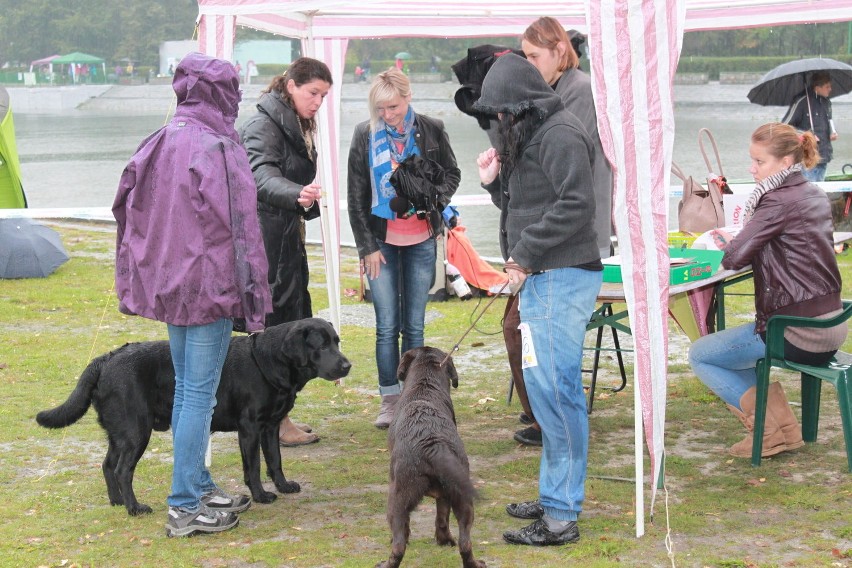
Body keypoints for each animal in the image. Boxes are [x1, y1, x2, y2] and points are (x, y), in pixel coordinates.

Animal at [36, 318, 350, 516]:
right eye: (321, 346)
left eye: (337, 342)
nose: (347, 365)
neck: (268, 361)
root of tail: (107, 358)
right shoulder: (249, 428)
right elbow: (254, 467)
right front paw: (261, 496)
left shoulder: (270, 426)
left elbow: (275, 461)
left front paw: (284, 486)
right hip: (136, 431)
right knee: (122, 470)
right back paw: (135, 508)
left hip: (119, 432)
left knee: (107, 465)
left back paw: (117, 502)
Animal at [378, 346, 486, 568]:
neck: (424, 384)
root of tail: (433, 445)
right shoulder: (444, 496)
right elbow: (442, 519)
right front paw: (444, 541)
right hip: (462, 497)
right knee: (465, 543)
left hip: (397, 499)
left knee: (398, 546)